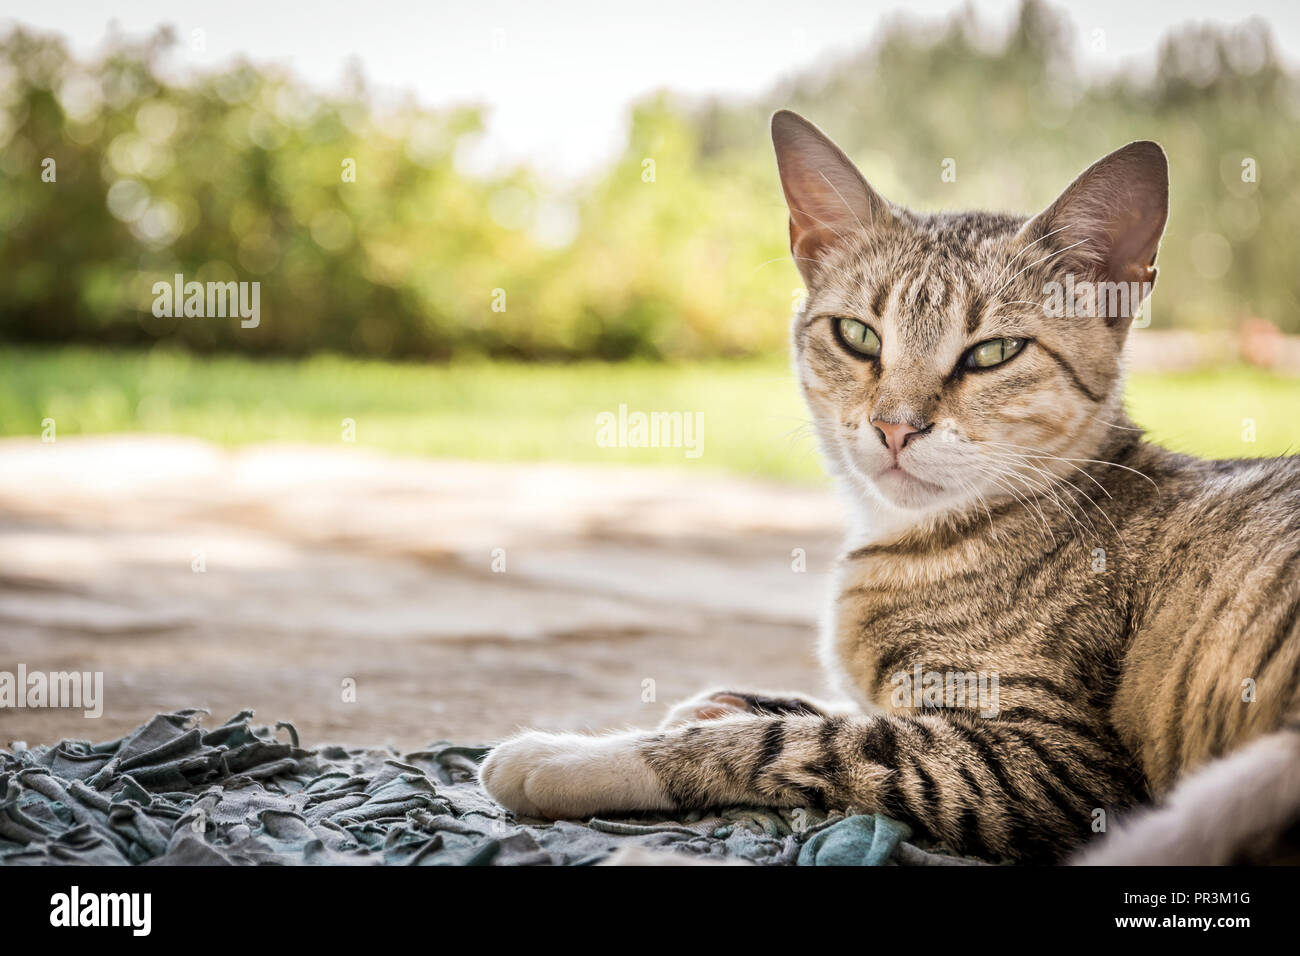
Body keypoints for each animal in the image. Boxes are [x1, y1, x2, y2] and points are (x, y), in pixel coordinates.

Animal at [478, 108, 1300, 863]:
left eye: (994, 352)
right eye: (858, 336)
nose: (896, 426)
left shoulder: (1056, 762)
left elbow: (809, 741)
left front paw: (579, 755)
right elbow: (839, 708)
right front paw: (722, 703)